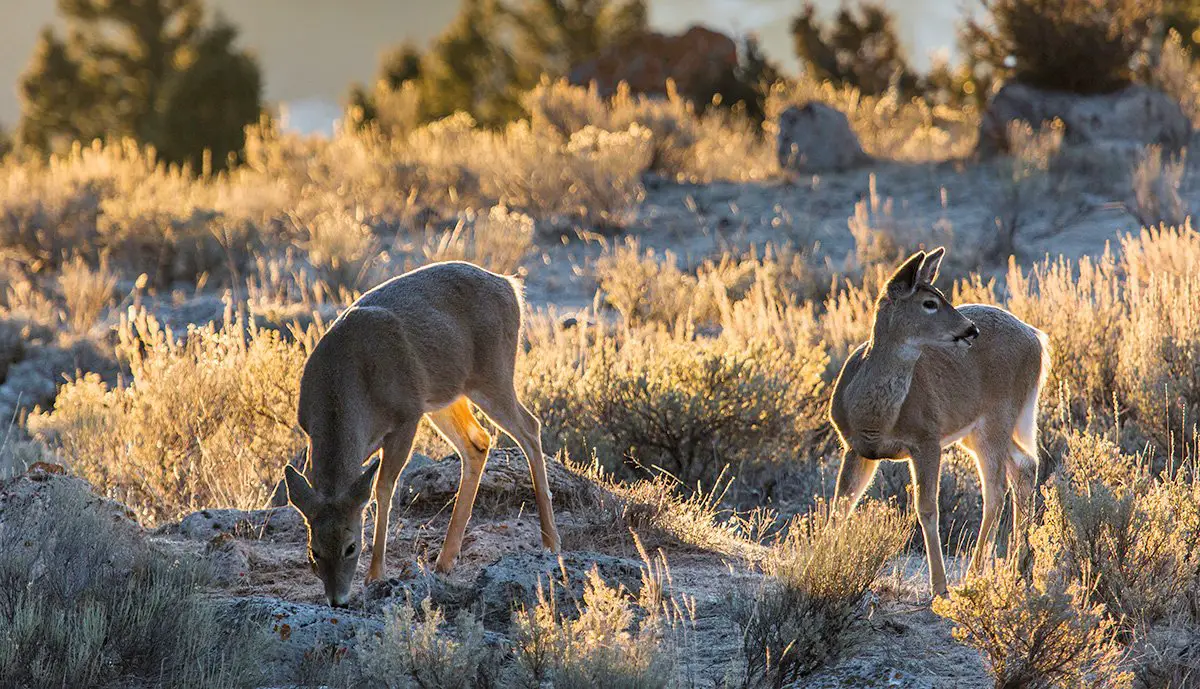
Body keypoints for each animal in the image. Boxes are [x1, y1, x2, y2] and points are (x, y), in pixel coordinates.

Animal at [283, 261, 559, 607]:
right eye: (314, 551)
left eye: (351, 547)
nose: (338, 600)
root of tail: (509, 286)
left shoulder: (406, 417)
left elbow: (383, 488)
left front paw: (376, 574)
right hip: (445, 396)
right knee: (478, 442)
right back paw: (445, 559)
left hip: (492, 375)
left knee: (529, 428)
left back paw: (551, 541)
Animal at [830, 249, 1046, 600]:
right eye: (930, 302)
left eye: (942, 296)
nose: (971, 330)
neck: (874, 415)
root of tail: (1037, 338)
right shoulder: (856, 447)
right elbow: (842, 504)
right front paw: (816, 558)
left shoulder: (927, 440)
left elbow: (927, 509)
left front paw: (940, 587)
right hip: (976, 429)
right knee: (1024, 465)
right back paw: (1020, 568)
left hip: (998, 415)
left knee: (996, 491)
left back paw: (975, 575)